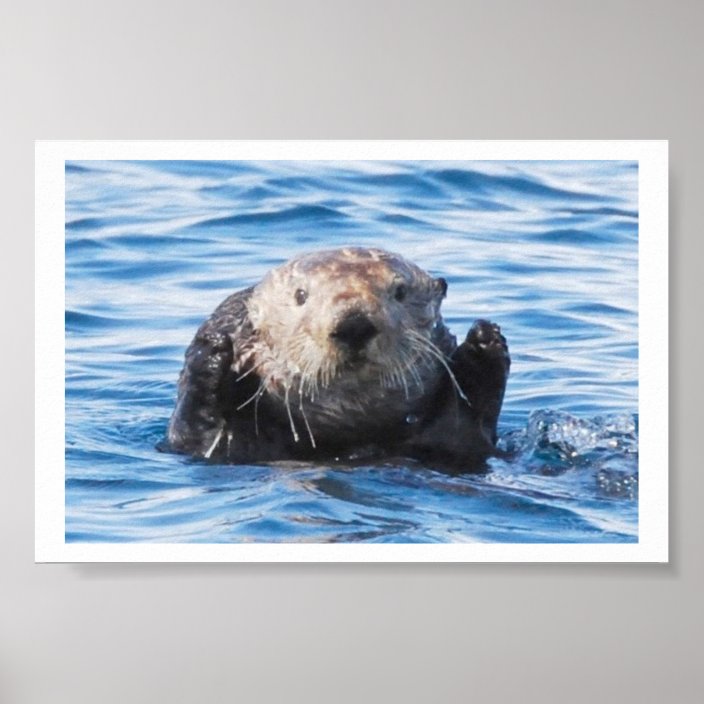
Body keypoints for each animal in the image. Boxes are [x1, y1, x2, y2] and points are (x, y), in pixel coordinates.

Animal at [165, 247, 510, 471]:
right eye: (301, 295)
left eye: (399, 292)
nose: (354, 324)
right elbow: (199, 435)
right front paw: (213, 347)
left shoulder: (455, 443)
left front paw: (485, 340)